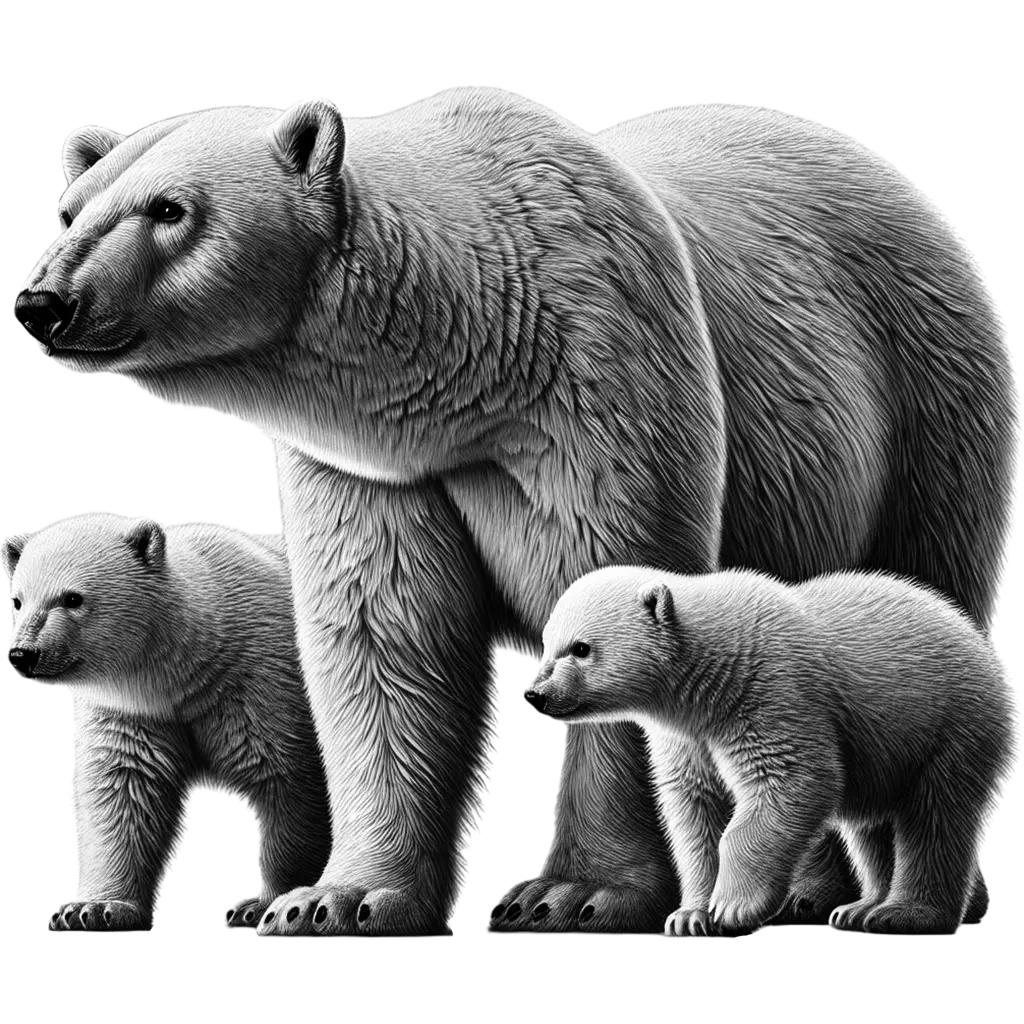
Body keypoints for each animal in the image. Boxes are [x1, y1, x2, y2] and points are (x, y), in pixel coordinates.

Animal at [3, 513, 331, 934]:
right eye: (17, 599)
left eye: (73, 598)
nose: (23, 654)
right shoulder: (134, 712)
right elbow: (123, 792)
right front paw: (95, 909)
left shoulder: (264, 682)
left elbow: (287, 781)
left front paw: (262, 906)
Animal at [524, 565, 1021, 936]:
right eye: (545, 646)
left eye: (581, 648)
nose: (536, 696)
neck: (714, 662)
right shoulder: (687, 736)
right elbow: (695, 811)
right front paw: (691, 916)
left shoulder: (772, 691)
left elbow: (792, 781)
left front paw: (734, 907)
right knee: (872, 828)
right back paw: (860, 907)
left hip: (953, 725)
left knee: (934, 817)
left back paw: (903, 914)